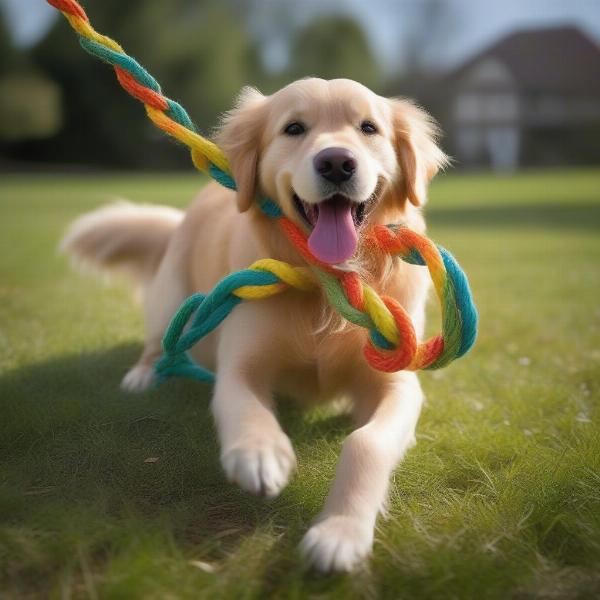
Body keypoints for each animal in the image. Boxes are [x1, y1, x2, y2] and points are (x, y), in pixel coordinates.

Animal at [62, 77, 446, 568]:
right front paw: (260, 452)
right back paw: (143, 376)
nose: (336, 163)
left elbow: (367, 443)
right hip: (170, 299)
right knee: (157, 346)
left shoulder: (396, 381)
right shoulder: (242, 363)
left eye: (368, 128)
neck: (325, 286)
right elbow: (246, 406)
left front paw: (340, 531)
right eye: (294, 128)